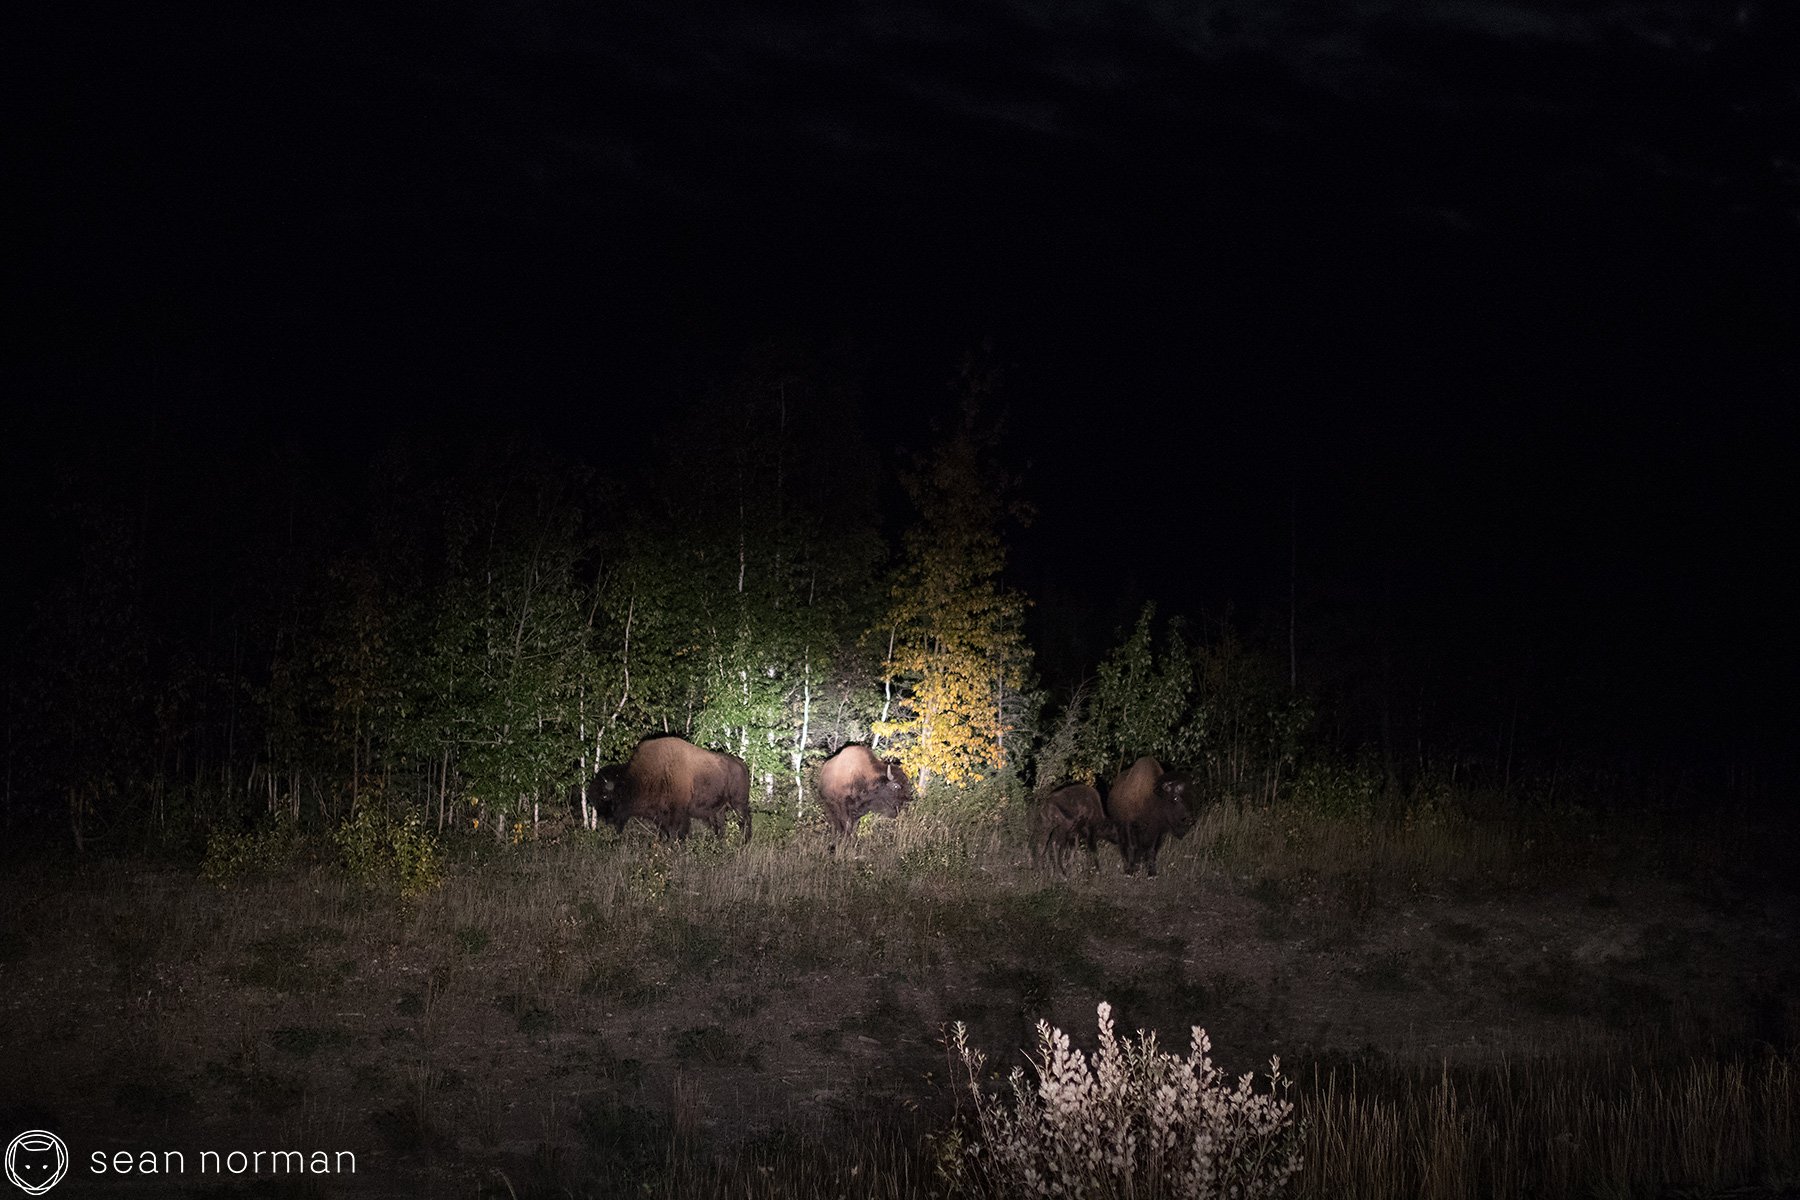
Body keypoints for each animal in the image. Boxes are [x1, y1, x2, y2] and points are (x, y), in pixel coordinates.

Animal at [590, 734, 752, 845]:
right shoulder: (659, 815)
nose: (606, 821)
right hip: (720, 808)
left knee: (745, 821)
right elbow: (664, 831)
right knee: (721, 825)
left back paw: (745, 842)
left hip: (738, 803)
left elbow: (676, 832)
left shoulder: (678, 812)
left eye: (605, 796)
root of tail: (742, 764)